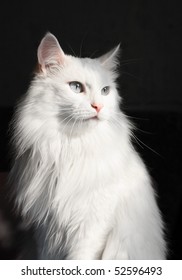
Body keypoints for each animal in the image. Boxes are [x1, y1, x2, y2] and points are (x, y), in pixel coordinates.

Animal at [9, 33, 166, 260]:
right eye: (76, 87)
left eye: (105, 91)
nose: (98, 106)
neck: (70, 147)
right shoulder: (45, 230)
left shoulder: (91, 225)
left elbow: (80, 258)